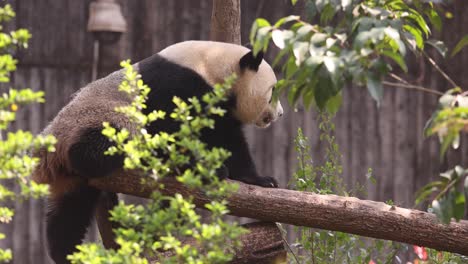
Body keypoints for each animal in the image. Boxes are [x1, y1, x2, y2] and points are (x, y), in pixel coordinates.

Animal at [33, 40, 284, 262]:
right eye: (272, 92)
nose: (280, 114)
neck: (215, 65)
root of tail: (49, 154)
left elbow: (228, 141)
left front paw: (259, 179)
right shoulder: (180, 86)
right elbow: (173, 130)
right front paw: (205, 169)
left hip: (75, 180)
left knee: (69, 213)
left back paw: (65, 253)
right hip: (95, 120)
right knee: (94, 148)